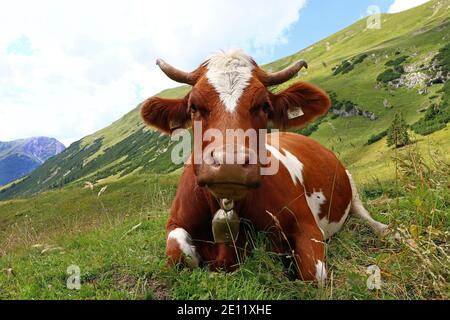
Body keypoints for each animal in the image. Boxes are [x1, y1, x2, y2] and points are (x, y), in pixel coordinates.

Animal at [141, 49, 386, 284]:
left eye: (265, 106)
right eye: (193, 107)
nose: (230, 163)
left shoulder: (307, 226)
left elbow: (313, 276)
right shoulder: (175, 222)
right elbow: (178, 249)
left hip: (349, 179)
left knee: (362, 212)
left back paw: (385, 230)